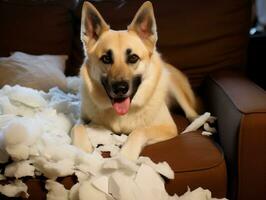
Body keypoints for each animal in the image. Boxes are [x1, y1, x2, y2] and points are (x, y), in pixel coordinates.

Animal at [71, 0, 198, 160]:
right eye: (106, 59)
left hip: (176, 88)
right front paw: (82, 151)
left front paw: (125, 157)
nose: (120, 89)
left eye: (133, 58)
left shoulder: (168, 127)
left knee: (190, 110)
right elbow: (77, 126)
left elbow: (139, 131)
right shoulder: (82, 118)